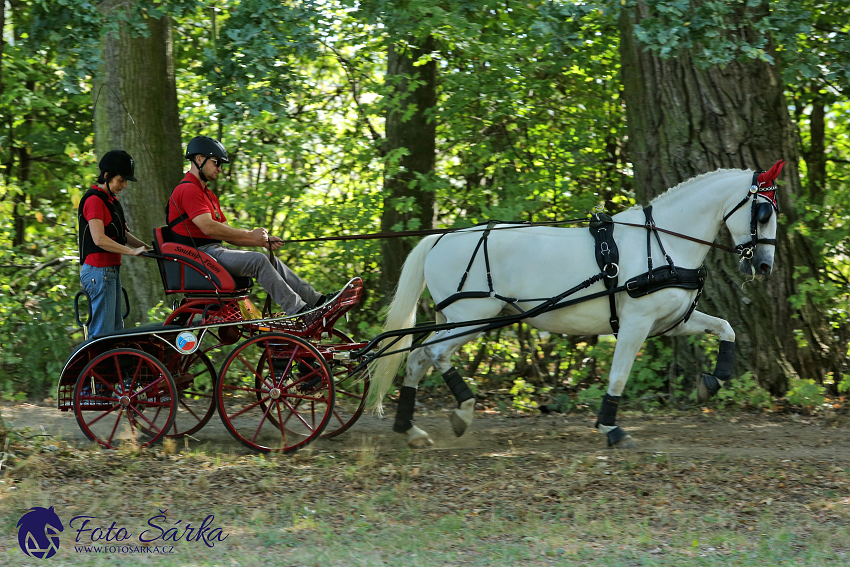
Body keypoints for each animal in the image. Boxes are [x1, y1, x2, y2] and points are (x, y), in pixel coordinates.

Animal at [372, 163, 780, 448]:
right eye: (763, 212)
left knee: (417, 359)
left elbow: (726, 329)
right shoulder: (636, 321)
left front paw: (711, 383)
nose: (763, 265)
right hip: (470, 318)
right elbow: (619, 375)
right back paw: (464, 410)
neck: (664, 241)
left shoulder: (673, 319)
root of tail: (440, 237)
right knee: (435, 354)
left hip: (455, 318)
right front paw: (611, 428)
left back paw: (410, 429)